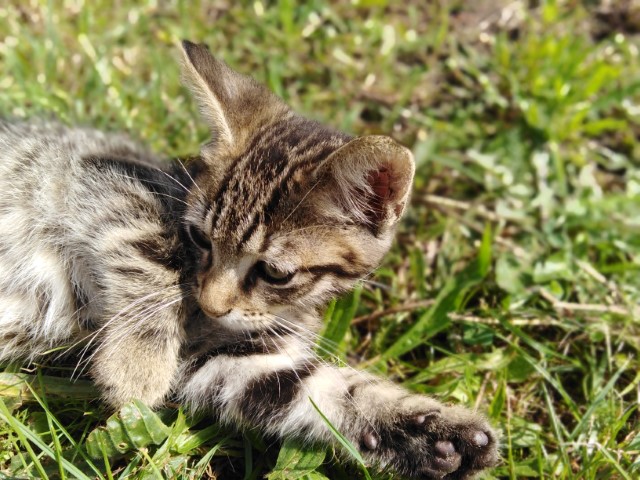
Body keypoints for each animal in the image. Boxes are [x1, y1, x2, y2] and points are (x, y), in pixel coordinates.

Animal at [0, 42, 500, 480]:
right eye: (199, 237)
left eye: (275, 272)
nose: (210, 303)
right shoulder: (100, 181)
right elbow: (152, 255)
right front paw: (136, 366)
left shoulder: (221, 353)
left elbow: (308, 387)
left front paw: (428, 432)